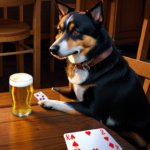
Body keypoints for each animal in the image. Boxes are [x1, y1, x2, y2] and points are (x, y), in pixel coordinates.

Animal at [38, 0, 150, 149]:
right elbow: (66, 92)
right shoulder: (75, 92)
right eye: (59, 30)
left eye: (76, 32)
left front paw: (48, 102)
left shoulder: (91, 109)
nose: (52, 49)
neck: (89, 64)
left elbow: (67, 103)